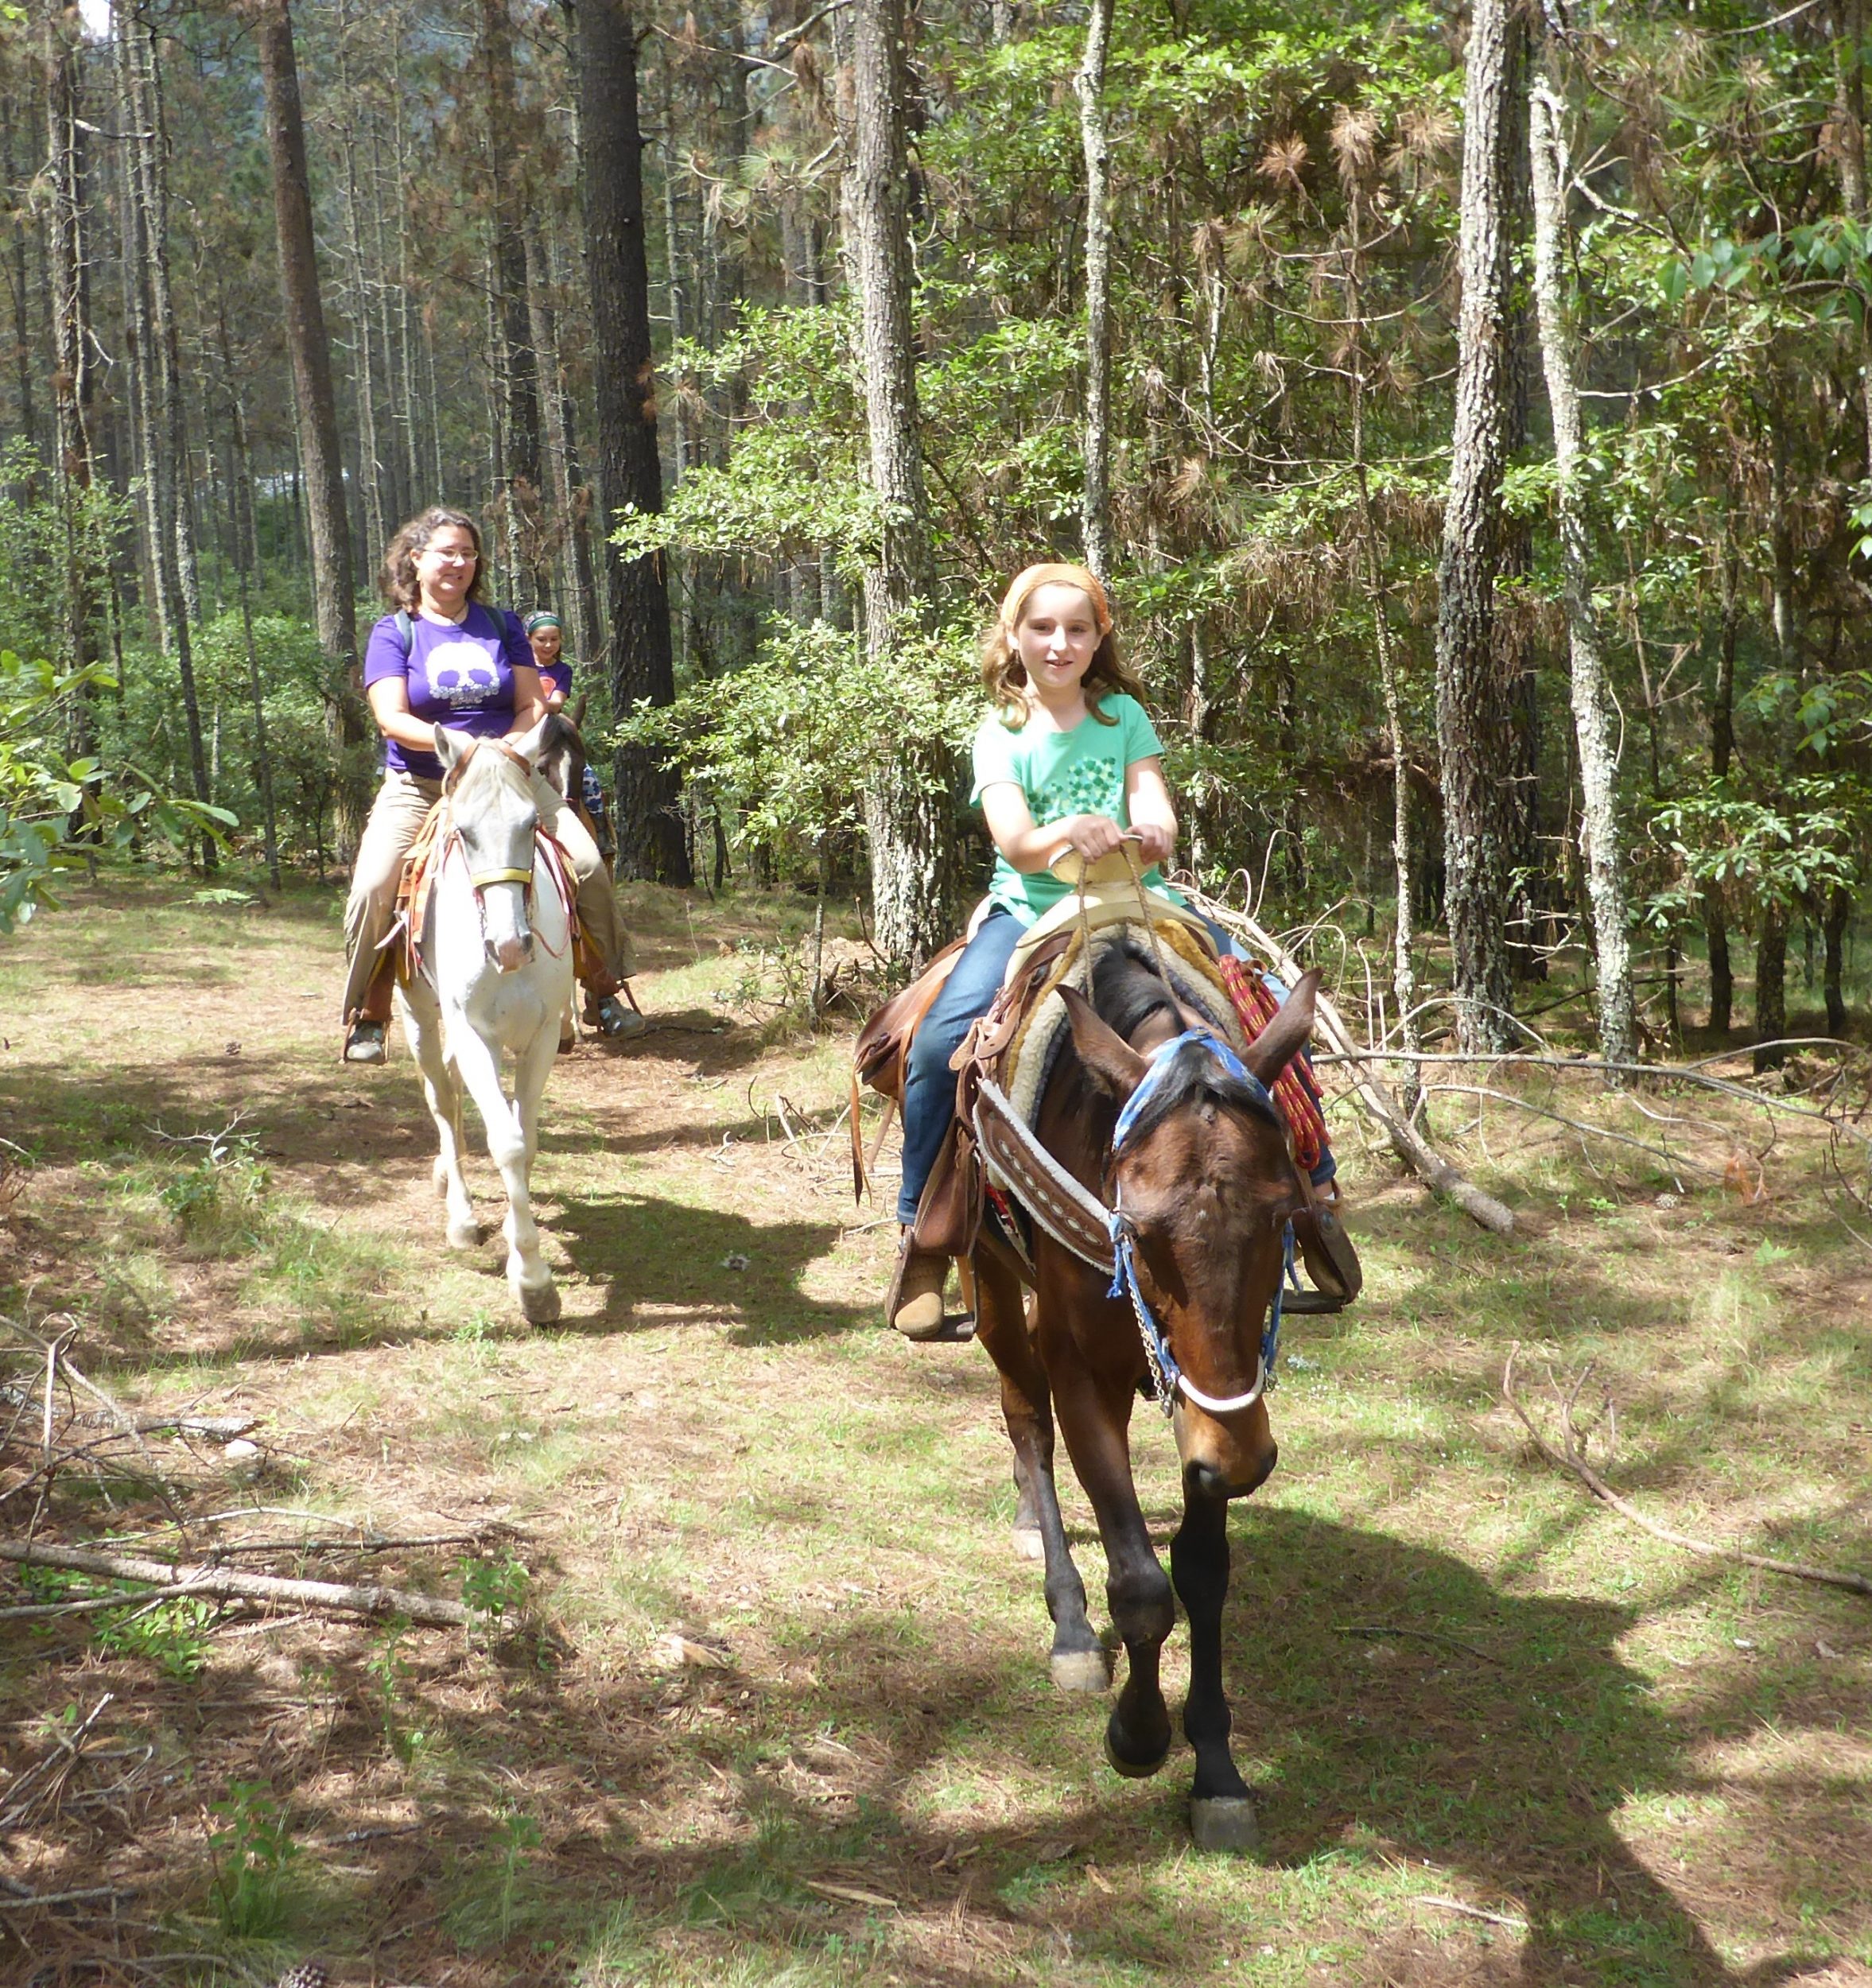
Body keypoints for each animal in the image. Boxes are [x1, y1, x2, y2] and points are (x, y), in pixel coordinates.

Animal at [393, 724, 572, 1328]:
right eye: (464, 833)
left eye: (532, 824)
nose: (510, 945)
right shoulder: (476, 1038)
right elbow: (508, 1143)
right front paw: (534, 1283)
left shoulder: (543, 1038)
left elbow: (528, 1141)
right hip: (420, 1019)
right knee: (442, 1100)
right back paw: (461, 1214)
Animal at [965, 938, 1319, 1853]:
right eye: (1142, 1230)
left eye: (1284, 1213)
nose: (1245, 1458)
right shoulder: (1084, 1377)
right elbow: (1140, 1586)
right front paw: (1138, 1733)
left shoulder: (1215, 1411)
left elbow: (1201, 1573)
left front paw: (1216, 1767)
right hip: (987, 1274)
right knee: (1026, 1421)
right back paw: (1068, 1623)